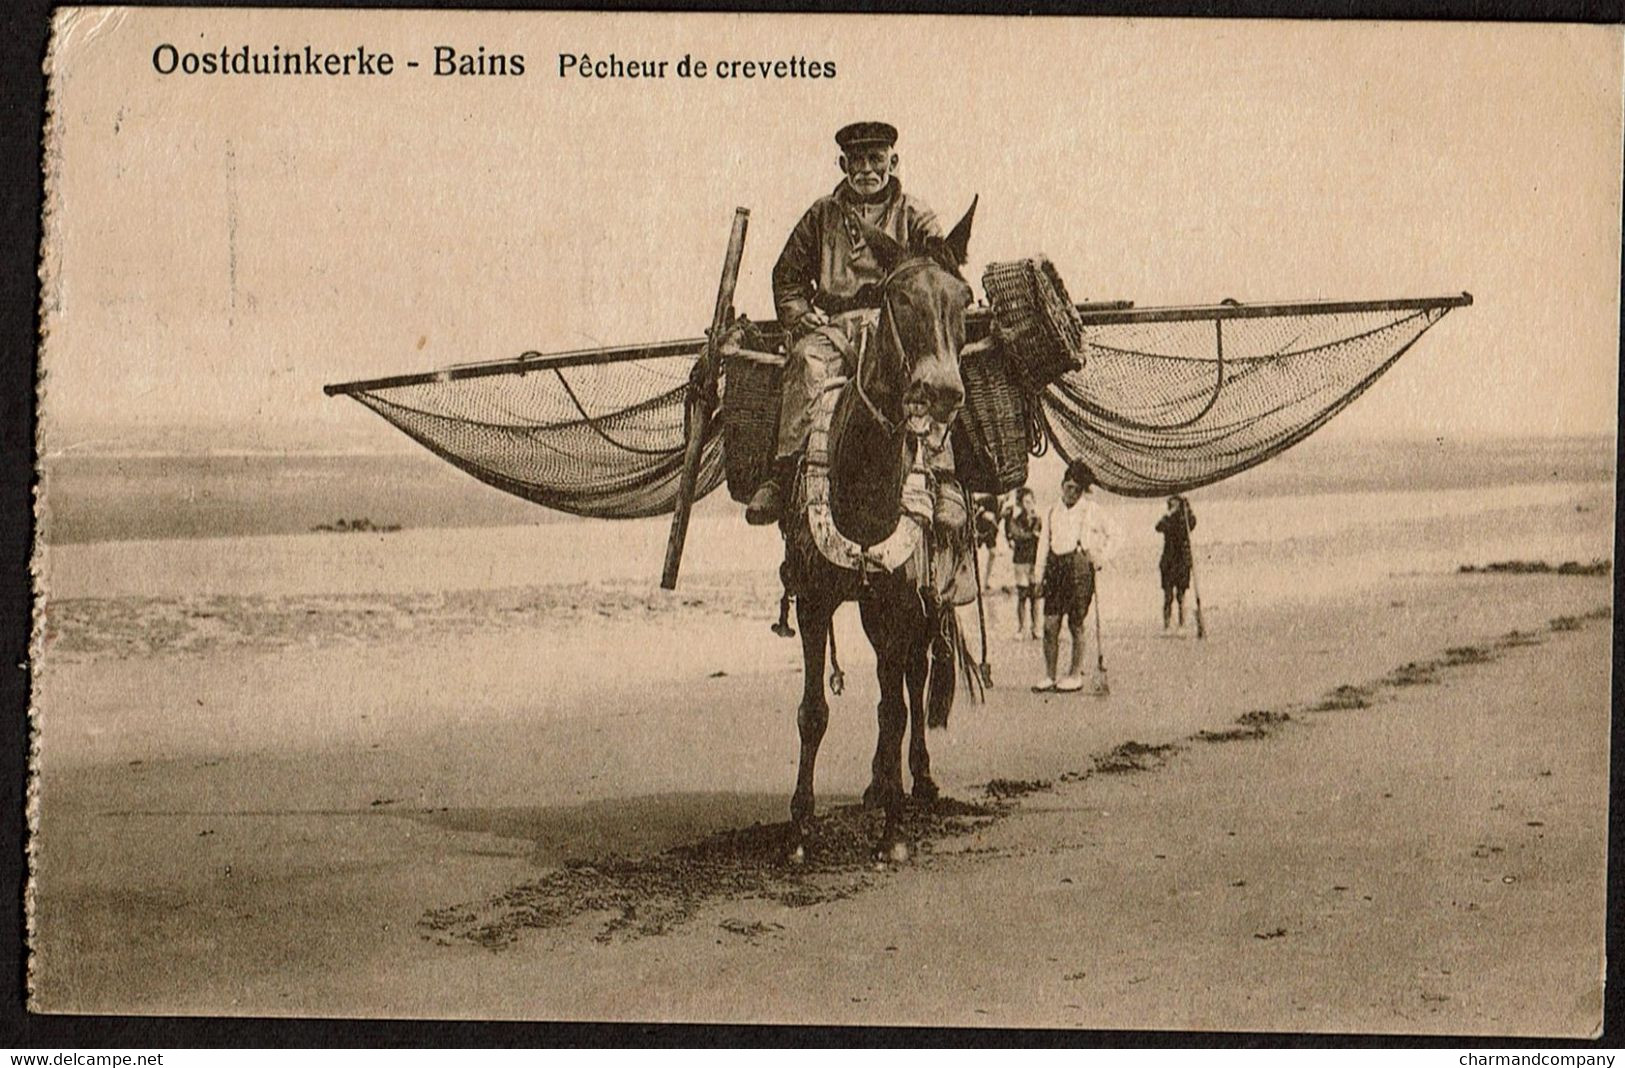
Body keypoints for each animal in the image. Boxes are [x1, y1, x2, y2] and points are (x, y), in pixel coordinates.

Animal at [776, 195, 975, 864]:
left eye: (965, 299)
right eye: (900, 298)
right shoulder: (814, 602)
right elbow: (812, 712)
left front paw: (894, 830)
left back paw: (916, 781)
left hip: (912, 606)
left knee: (912, 684)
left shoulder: (898, 604)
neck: (862, 475)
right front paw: (799, 832)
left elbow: (893, 709)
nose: (939, 392)